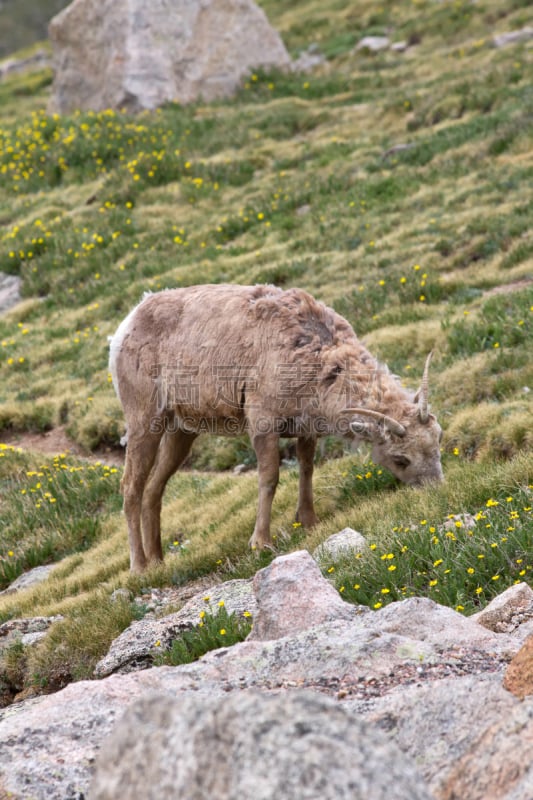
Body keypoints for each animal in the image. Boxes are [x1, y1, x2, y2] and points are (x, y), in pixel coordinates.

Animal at [109, 284, 440, 572]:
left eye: (438, 440)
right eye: (400, 459)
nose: (435, 489)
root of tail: (124, 328)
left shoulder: (305, 428)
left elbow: (307, 468)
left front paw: (309, 520)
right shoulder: (262, 422)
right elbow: (269, 478)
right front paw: (260, 543)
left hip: (182, 430)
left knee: (154, 489)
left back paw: (158, 562)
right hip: (145, 420)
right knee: (131, 487)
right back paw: (139, 567)